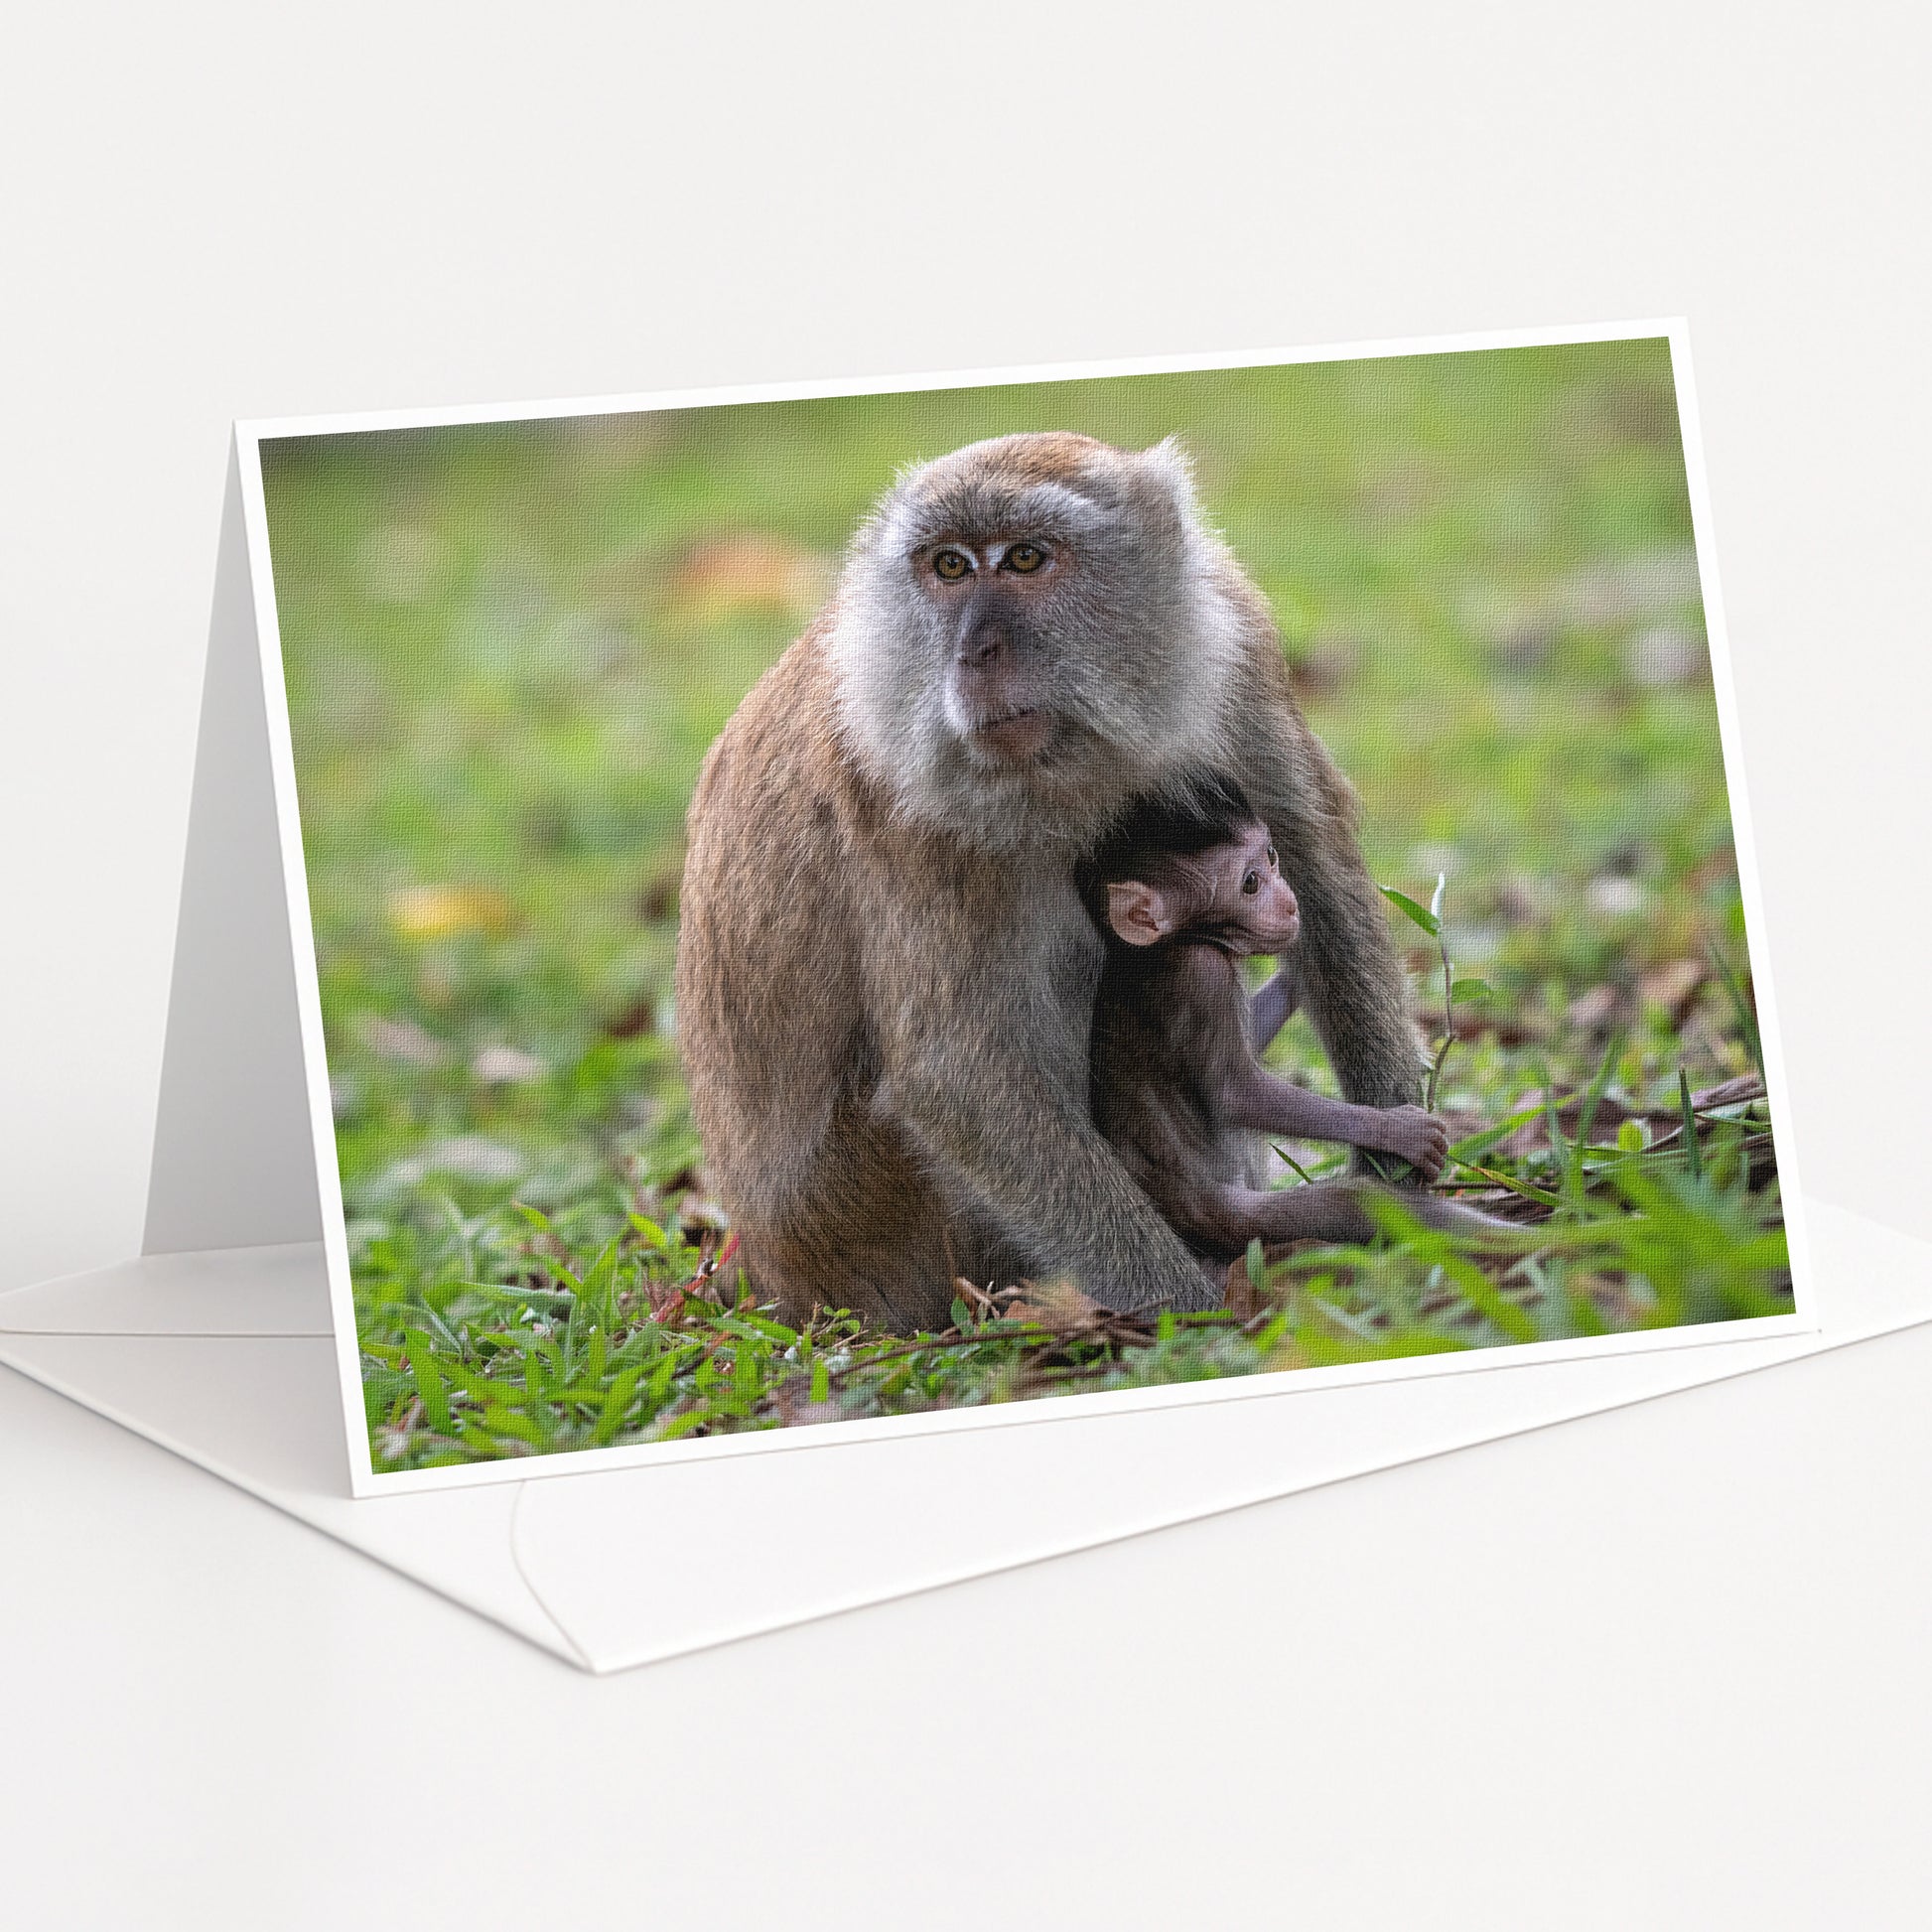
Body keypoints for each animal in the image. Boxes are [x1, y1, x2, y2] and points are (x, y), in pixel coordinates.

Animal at [675, 430, 1425, 1328]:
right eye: (950, 566)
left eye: (1026, 558)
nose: (974, 653)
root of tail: (768, 1273)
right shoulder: (908, 798)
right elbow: (960, 1076)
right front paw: (1185, 1308)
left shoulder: (1234, 647)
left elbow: (1319, 874)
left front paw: (1399, 1164)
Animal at [1082, 776, 1511, 1265]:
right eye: (1250, 884)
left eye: (1271, 856)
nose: (1289, 902)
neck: (1165, 944)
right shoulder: (1202, 974)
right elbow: (1237, 1092)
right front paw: (1395, 1131)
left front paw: (1296, 971)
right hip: (1242, 1217)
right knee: (1365, 1205)